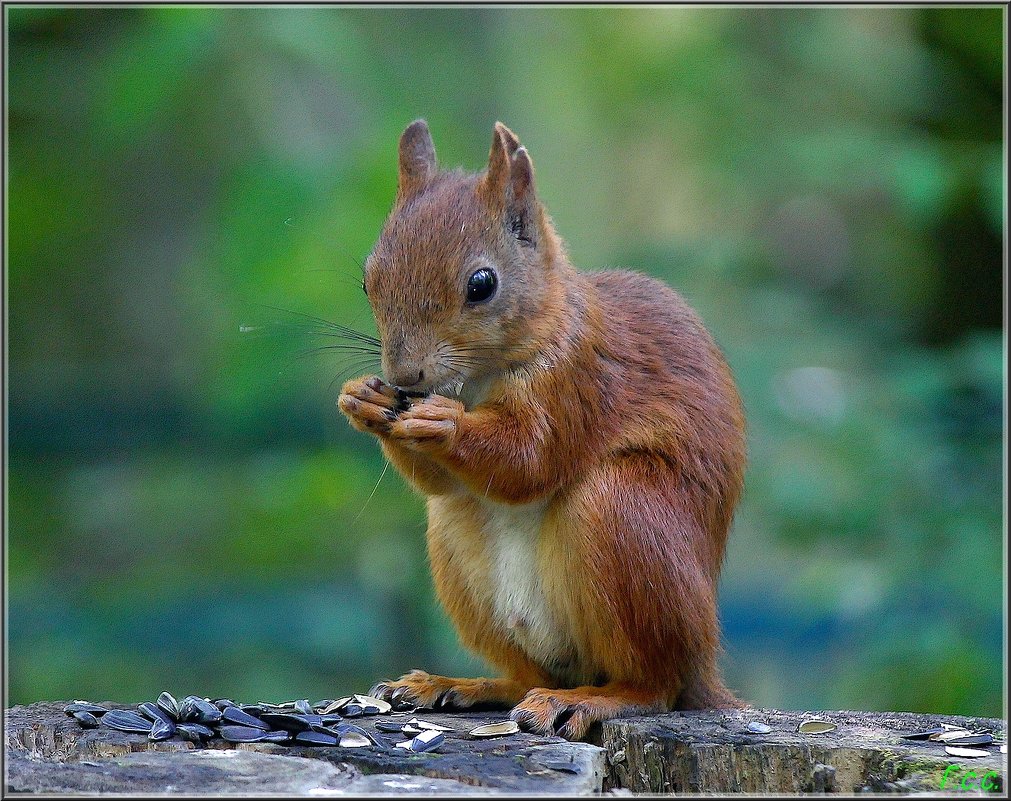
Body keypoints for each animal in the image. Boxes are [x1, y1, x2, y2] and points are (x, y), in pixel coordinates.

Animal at [335, 117, 748, 740]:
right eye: (368, 281)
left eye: (482, 284)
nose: (405, 376)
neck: (480, 379)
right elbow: (442, 482)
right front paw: (360, 398)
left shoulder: (578, 381)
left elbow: (530, 459)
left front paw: (443, 422)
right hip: (455, 546)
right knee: (524, 673)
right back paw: (461, 685)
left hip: (625, 517)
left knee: (655, 685)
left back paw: (592, 699)